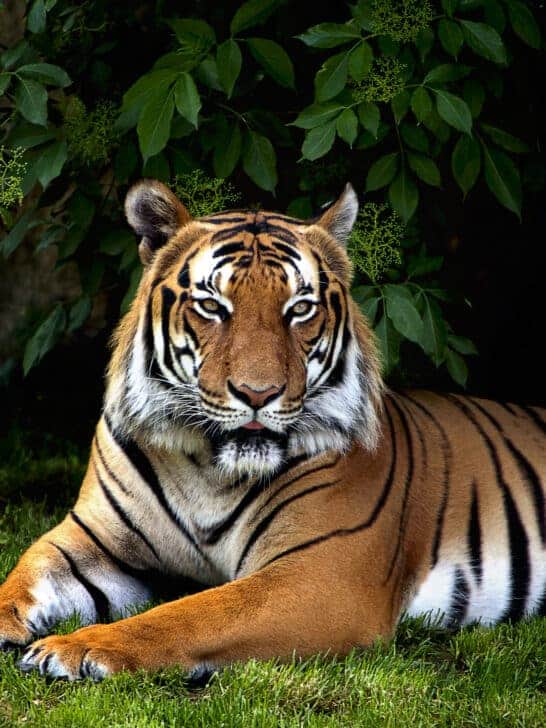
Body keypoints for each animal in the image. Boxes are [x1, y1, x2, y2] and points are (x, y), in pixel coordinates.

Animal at [0, 179, 545, 682]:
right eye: (212, 306)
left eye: (300, 309)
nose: (258, 394)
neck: (208, 468)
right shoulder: (91, 538)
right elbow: (25, 572)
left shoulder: (323, 576)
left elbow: (191, 615)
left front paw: (75, 648)